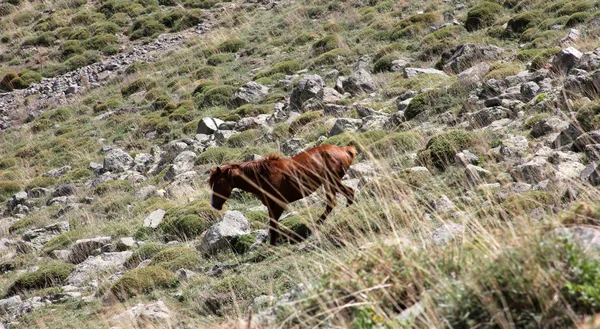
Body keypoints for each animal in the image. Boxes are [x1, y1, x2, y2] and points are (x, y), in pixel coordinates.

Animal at [209, 144, 356, 243]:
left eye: (218, 184)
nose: (214, 205)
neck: (263, 176)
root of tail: (345, 150)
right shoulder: (271, 205)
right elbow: (273, 225)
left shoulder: (279, 204)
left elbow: (273, 225)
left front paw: (273, 245)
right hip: (331, 182)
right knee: (347, 193)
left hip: (331, 181)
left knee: (335, 201)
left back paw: (317, 225)